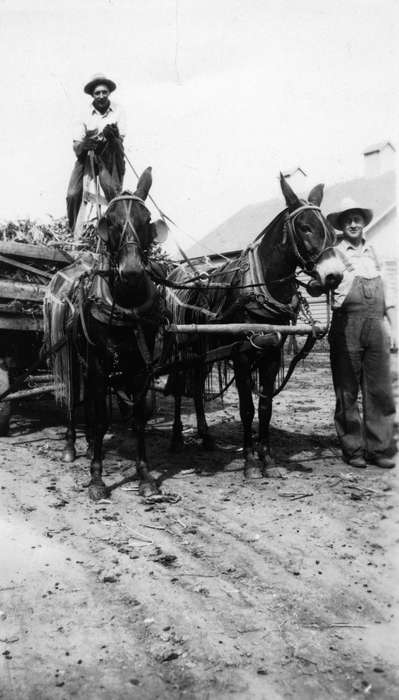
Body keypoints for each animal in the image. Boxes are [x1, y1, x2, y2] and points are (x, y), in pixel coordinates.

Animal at [44, 167, 169, 500]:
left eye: (146, 219)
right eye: (109, 221)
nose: (132, 271)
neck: (126, 305)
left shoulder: (140, 366)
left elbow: (138, 417)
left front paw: (144, 475)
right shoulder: (99, 365)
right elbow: (101, 419)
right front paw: (97, 478)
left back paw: (89, 446)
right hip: (76, 358)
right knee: (75, 399)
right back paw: (72, 444)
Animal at [162, 173, 346, 478]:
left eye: (331, 229)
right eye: (305, 228)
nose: (334, 276)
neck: (259, 288)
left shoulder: (271, 355)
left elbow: (265, 407)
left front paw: (267, 459)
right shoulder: (241, 355)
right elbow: (247, 408)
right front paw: (249, 461)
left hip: (204, 352)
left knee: (197, 388)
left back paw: (205, 436)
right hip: (181, 348)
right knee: (178, 388)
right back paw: (176, 436)